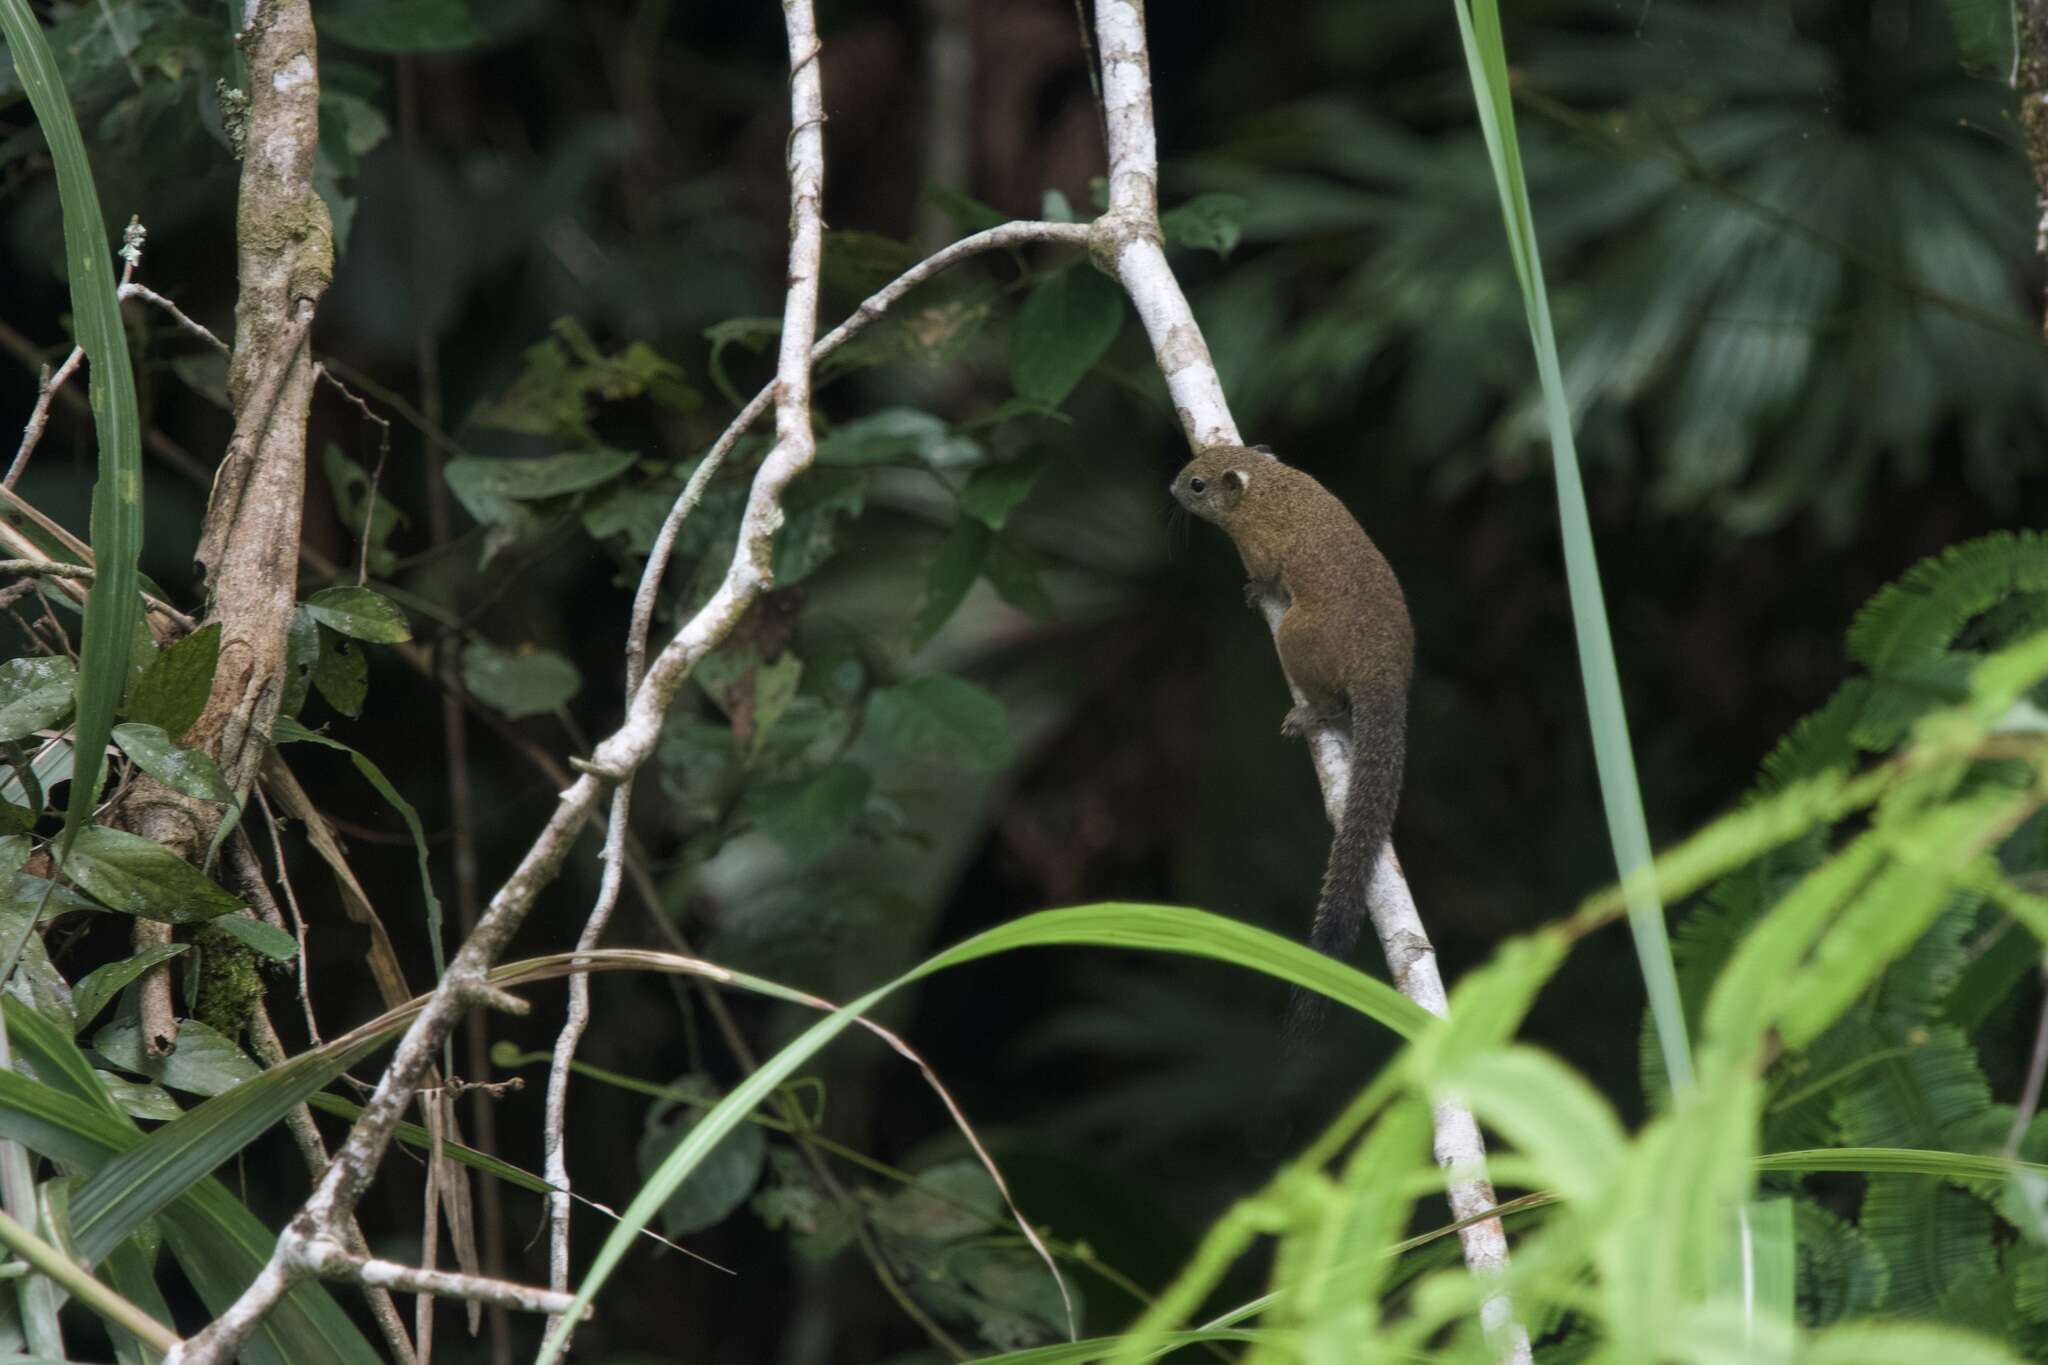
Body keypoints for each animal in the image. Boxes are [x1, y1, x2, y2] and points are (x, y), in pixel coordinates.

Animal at [1179, 444, 1417, 1039]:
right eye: (1191, 471)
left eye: (1195, 486)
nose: (1170, 487)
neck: (1270, 486)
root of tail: (1383, 672)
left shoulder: (1258, 544)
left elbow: (1264, 573)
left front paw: (1257, 589)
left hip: (1296, 633)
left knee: (1330, 699)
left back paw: (1310, 715)